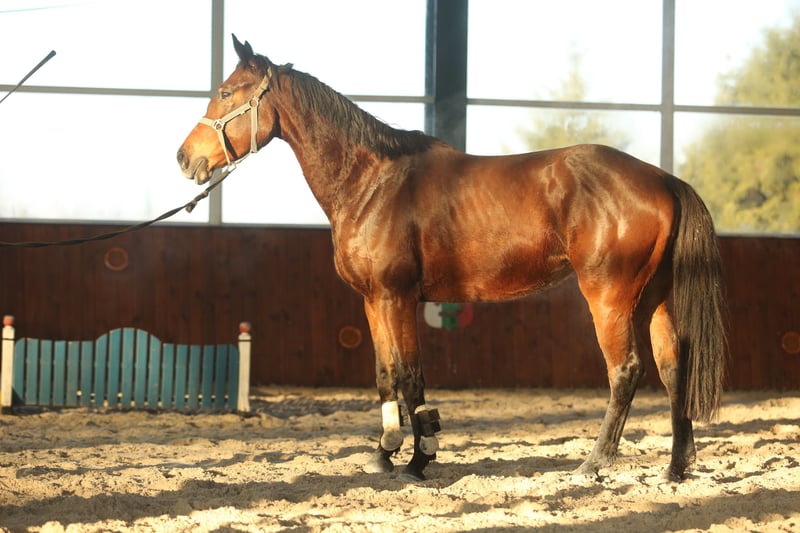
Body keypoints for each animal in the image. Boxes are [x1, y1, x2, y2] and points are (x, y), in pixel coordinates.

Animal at [177, 35, 726, 482]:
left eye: (226, 92)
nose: (185, 158)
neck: (372, 182)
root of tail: (663, 180)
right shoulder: (373, 302)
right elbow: (385, 375)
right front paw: (385, 452)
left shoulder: (397, 298)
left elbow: (409, 376)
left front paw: (419, 458)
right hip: (655, 300)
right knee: (674, 367)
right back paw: (676, 466)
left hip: (609, 297)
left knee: (626, 370)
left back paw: (594, 462)